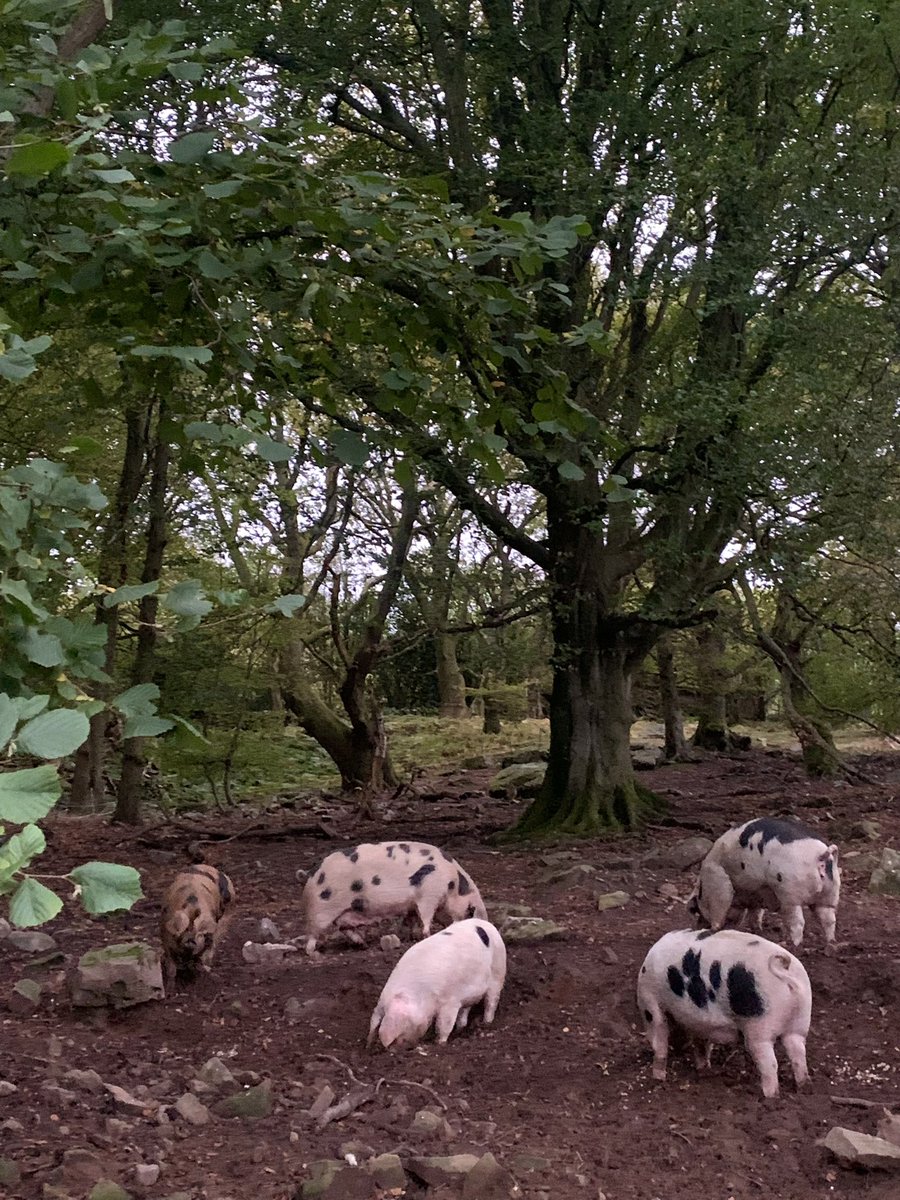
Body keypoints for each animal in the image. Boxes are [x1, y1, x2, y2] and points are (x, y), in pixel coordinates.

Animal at [298, 841, 487, 954]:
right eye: (470, 911)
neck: (453, 884)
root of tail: (310, 875)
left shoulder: (412, 905)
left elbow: (411, 919)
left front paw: (411, 936)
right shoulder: (428, 895)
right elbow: (426, 917)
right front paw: (426, 935)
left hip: (343, 912)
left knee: (343, 927)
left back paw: (363, 945)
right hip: (320, 909)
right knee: (312, 933)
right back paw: (314, 952)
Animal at [368, 918, 507, 1049]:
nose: (391, 1050)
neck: (421, 993)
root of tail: (488, 924)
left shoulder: (450, 1000)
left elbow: (444, 1025)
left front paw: (439, 1043)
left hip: (498, 972)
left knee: (491, 1002)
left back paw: (486, 1024)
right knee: (466, 1010)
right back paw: (460, 1030)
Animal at [637, 927, 812, 1098]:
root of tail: (786, 973)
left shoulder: (651, 1005)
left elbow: (659, 1045)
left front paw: (658, 1078)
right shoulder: (701, 1024)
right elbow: (701, 1045)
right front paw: (703, 1069)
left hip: (759, 1027)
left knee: (770, 1064)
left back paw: (769, 1097)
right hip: (800, 1021)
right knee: (798, 1053)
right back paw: (802, 1087)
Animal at [687, 817, 840, 946]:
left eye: (696, 909)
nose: (697, 927)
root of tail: (821, 856)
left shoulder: (718, 881)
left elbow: (719, 912)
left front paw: (714, 931)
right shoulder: (757, 895)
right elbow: (756, 915)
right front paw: (758, 931)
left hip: (790, 894)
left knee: (798, 923)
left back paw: (793, 945)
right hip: (830, 892)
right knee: (829, 919)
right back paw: (830, 944)